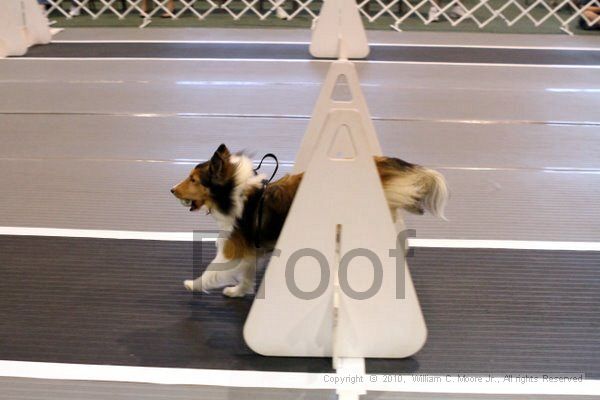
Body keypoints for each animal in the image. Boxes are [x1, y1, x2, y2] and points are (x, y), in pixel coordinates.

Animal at [171, 145, 448, 296]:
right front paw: (238, 291)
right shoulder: (250, 247)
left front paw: (192, 284)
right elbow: (247, 273)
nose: (172, 190)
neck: (233, 192)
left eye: (193, 179)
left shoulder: (232, 249)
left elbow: (212, 270)